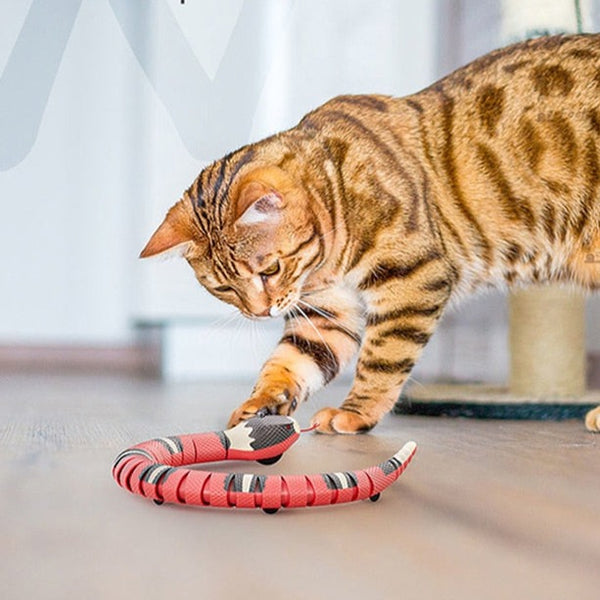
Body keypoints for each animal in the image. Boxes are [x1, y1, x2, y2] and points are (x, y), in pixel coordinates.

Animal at [142, 32, 600, 434]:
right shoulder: (325, 311)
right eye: (223, 288)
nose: (260, 312)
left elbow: (381, 359)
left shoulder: (412, 279)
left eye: (269, 269)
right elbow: (289, 362)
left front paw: (355, 413)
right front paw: (261, 402)